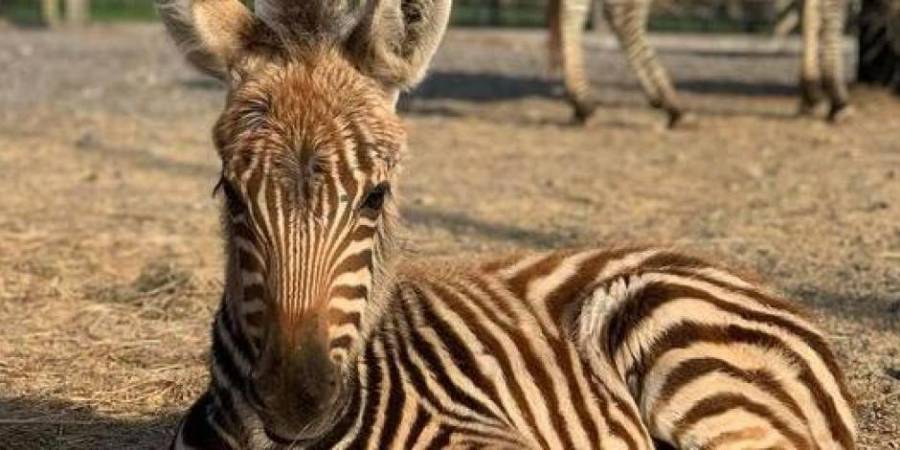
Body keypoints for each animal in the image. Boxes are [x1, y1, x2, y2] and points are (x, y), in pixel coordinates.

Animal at [545, 0, 851, 126]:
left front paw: (811, 93)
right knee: (621, 12)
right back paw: (673, 104)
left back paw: (583, 101)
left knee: (574, 9)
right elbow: (828, 14)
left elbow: (810, 13)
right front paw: (836, 97)